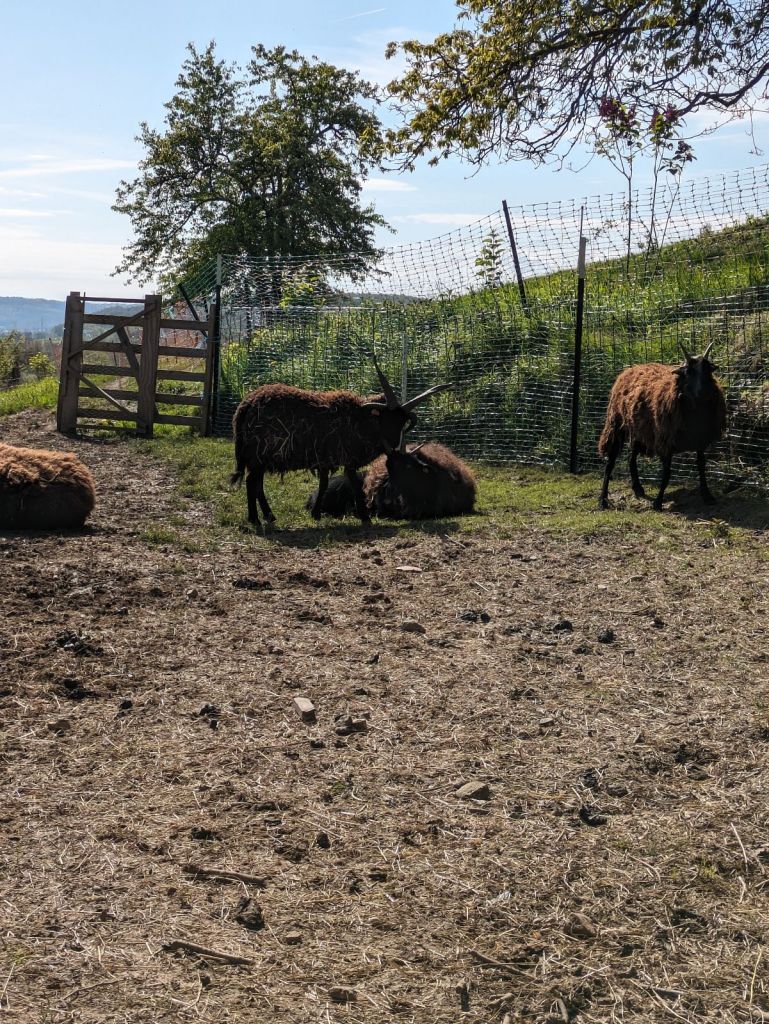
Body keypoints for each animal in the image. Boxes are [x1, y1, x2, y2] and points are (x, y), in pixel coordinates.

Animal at [230, 359, 451, 533]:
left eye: (402, 423)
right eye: (386, 419)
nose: (395, 446)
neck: (361, 421)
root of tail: (246, 404)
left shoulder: (326, 459)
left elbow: (323, 484)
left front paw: (316, 514)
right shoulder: (348, 459)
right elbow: (354, 484)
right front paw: (365, 518)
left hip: (260, 457)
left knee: (257, 484)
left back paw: (269, 516)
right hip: (259, 453)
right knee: (251, 482)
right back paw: (255, 519)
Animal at [598, 342, 726, 510]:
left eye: (708, 370)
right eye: (688, 372)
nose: (703, 392)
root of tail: (630, 369)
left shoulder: (700, 439)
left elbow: (701, 467)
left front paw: (707, 495)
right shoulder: (666, 441)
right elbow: (666, 473)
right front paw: (658, 502)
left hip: (640, 431)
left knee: (631, 458)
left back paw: (637, 488)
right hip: (616, 425)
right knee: (610, 462)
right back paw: (603, 500)